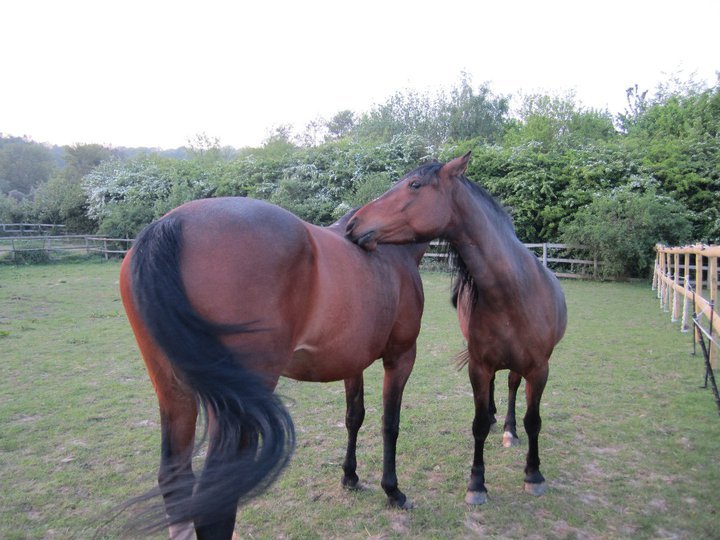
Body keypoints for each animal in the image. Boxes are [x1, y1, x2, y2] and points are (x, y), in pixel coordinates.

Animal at [119, 197, 427, 539]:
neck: (393, 252)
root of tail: (172, 223)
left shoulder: (352, 363)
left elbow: (354, 417)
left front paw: (350, 477)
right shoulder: (401, 358)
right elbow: (390, 423)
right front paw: (393, 491)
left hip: (174, 395)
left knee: (176, 482)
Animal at [346, 153, 567, 505]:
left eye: (414, 185)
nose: (354, 224)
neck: (513, 291)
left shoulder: (540, 368)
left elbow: (534, 421)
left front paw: (533, 474)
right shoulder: (478, 366)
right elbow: (478, 424)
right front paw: (476, 484)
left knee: (512, 386)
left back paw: (509, 430)